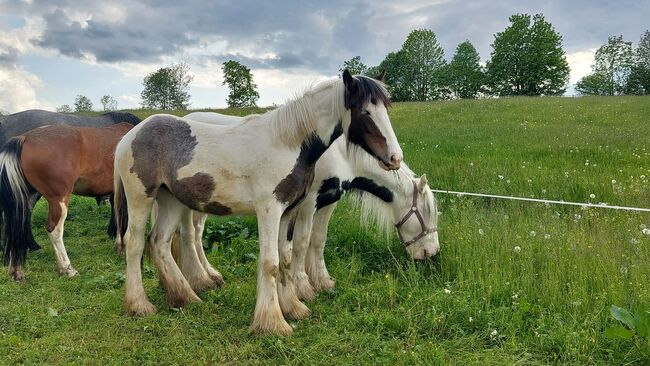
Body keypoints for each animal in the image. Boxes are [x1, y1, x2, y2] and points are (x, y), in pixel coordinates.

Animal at [0, 123, 134, 280]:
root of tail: (24, 138)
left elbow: (118, 216)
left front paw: (119, 246)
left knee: (15, 226)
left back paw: (16, 272)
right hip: (59, 200)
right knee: (54, 231)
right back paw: (67, 269)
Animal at [114, 70, 402, 336]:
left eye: (386, 109)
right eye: (365, 111)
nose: (395, 158)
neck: (288, 143)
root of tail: (129, 137)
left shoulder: (287, 211)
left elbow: (285, 260)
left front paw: (293, 308)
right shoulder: (269, 210)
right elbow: (270, 262)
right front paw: (272, 322)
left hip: (170, 200)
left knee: (159, 243)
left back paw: (186, 297)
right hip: (141, 198)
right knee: (135, 244)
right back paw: (140, 305)